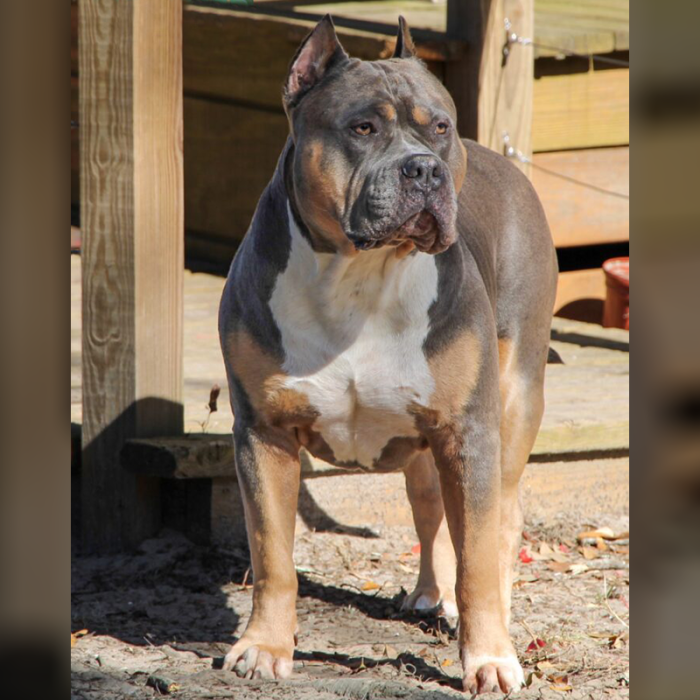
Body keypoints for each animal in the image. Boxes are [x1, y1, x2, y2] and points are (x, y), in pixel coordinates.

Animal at [219, 16, 556, 696]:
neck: (360, 275)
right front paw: (264, 647)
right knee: (433, 512)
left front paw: (488, 657)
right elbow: (272, 555)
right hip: (424, 448)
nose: (423, 169)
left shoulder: (469, 430)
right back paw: (430, 594)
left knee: (499, 519)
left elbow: (479, 558)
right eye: (363, 128)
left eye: (439, 127)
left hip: (513, 402)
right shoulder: (262, 433)